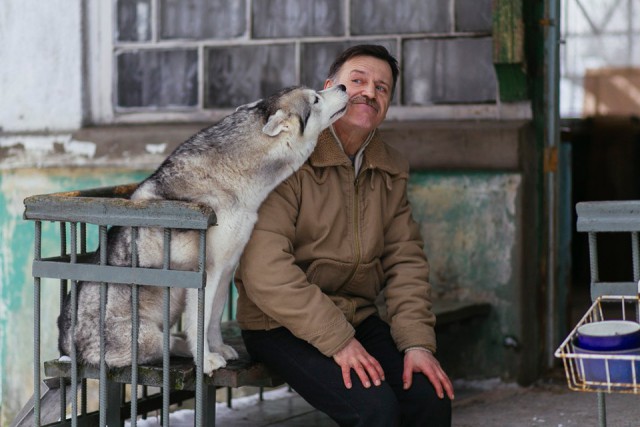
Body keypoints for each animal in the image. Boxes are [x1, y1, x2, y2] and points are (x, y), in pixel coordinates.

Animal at [58, 85, 350, 376]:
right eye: (316, 99)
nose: (343, 86)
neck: (234, 177)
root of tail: (68, 349)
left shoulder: (226, 267)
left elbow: (213, 318)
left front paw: (217, 348)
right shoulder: (206, 271)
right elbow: (199, 320)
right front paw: (207, 359)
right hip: (145, 336)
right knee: (163, 345)